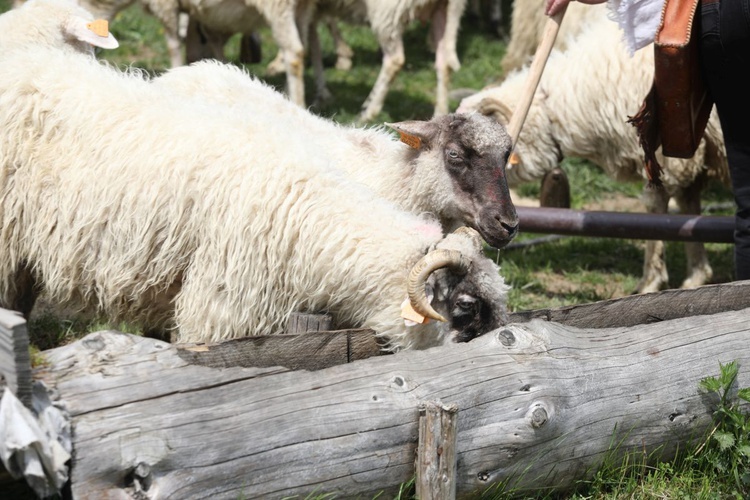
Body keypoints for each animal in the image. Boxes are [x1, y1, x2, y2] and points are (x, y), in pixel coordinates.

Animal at [456, 11, 732, 294]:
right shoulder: (694, 154)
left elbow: (657, 208)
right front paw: (697, 273)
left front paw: (651, 281)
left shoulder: (661, 155)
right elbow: (689, 208)